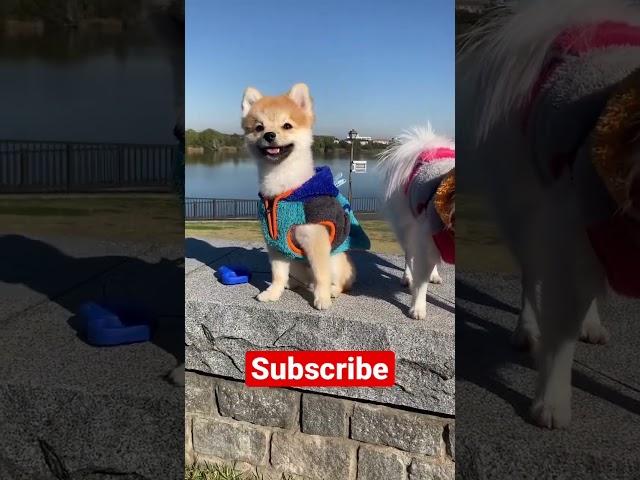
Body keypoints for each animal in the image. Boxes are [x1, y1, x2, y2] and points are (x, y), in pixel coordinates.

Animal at [240, 84, 368, 310]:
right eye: (259, 127)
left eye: (287, 125)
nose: (270, 135)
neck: (284, 188)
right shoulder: (276, 244)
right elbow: (277, 274)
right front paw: (273, 292)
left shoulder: (316, 239)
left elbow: (321, 275)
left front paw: (322, 298)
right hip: (296, 263)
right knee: (302, 279)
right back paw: (292, 284)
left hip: (336, 259)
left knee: (336, 282)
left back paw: (331, 291)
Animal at [380, 127, 456, 320]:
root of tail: (426, 148)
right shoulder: (427, 239)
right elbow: (421, 282)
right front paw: (418, 308)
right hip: (407, 229)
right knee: (409, 255)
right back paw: (407, 278)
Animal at [460, 0, 640, 428]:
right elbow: (561, 335)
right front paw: (552, 402)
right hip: (529, 211)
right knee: (532, 275)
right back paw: (527, 331)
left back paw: (592, 322)